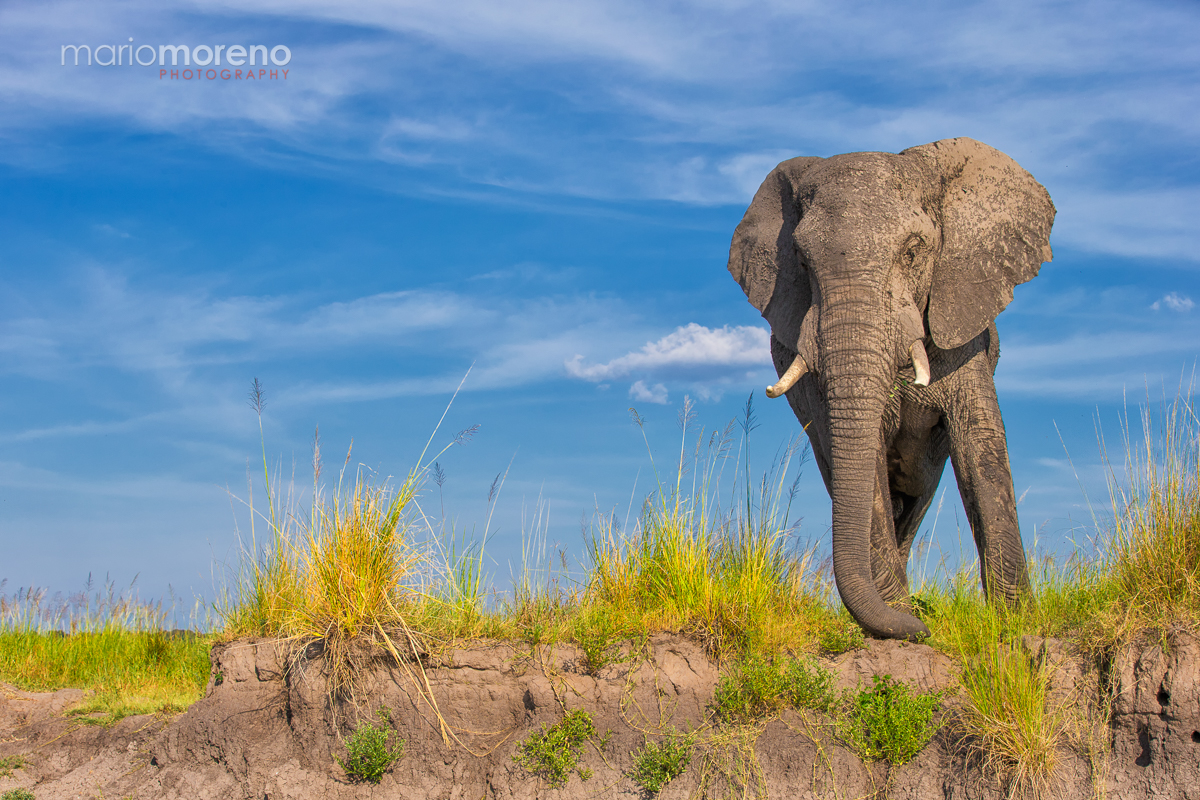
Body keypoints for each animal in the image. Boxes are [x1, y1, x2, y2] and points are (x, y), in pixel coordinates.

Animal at [727, 137, 1054, 641]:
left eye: (914, 251)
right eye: (800, 261)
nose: (923, 626)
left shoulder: (964, 326)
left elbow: (980, 444)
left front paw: (1015, 625)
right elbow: (867, 463)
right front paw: (900, 619)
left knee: (917, 499)